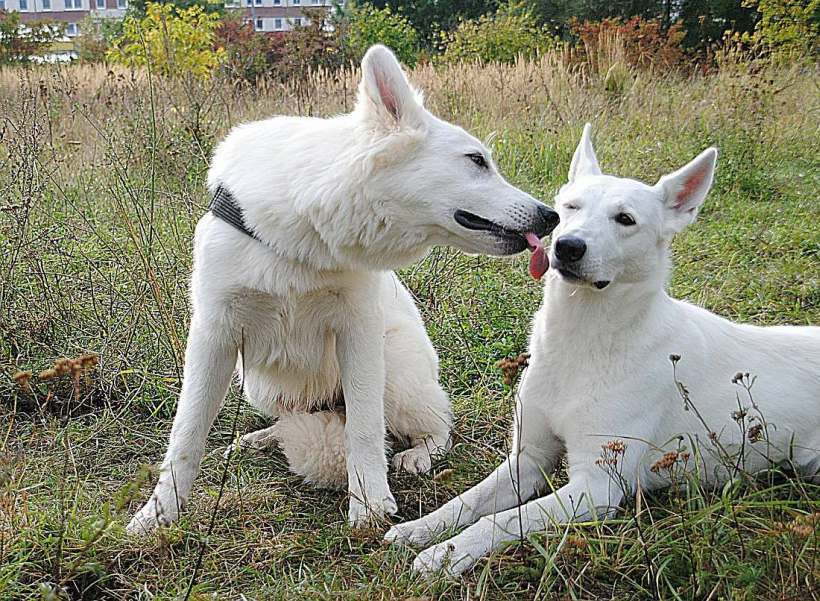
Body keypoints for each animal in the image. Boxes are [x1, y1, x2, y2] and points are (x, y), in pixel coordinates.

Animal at [128, 48, 560, 536]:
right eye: (476, 160)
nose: (550, 216)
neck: (302, 233)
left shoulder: (359, 334)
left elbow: (366, 428)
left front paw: (368, 503)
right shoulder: (213, 336)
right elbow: (186, 434)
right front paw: (158, 514)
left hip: (395, 368)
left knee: (435, 426)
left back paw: (418, 454)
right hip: (258, 384)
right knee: (292, 421)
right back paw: (261, 438)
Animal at [386, 124, 820, 576]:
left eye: (625, 219)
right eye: (569, 207)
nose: (567, 246)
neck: (582, 338)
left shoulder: (595, 488)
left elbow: (500, 521)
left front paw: (446, 554)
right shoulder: (528, 460)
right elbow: (468, 501)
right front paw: (421, 529)